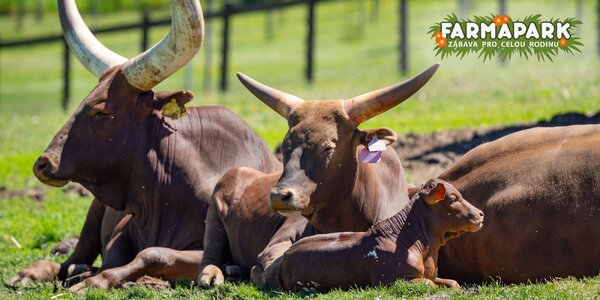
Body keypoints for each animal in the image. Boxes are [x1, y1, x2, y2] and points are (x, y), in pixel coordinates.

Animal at [8, 0, 282, 290]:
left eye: (102, 111)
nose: (43, 163)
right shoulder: (121, 231)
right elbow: (112, 258)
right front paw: (89, 277)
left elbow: (152, 254)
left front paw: (93, 281)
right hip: (94, 213)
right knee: (74, 257)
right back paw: (31, 273)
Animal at [199, 63, 438, 288]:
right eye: (284, 146)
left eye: (328, 147)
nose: (279, 196)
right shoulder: (277, 244)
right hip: (215, 214)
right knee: (210, 254)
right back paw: (211, 274)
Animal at [278, 178, 486, 290]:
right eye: (453, 198)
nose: (480, 214)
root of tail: (284, 258)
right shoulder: (393, 280)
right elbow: (430, 284)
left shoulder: (433, 275)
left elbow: (453, 282)